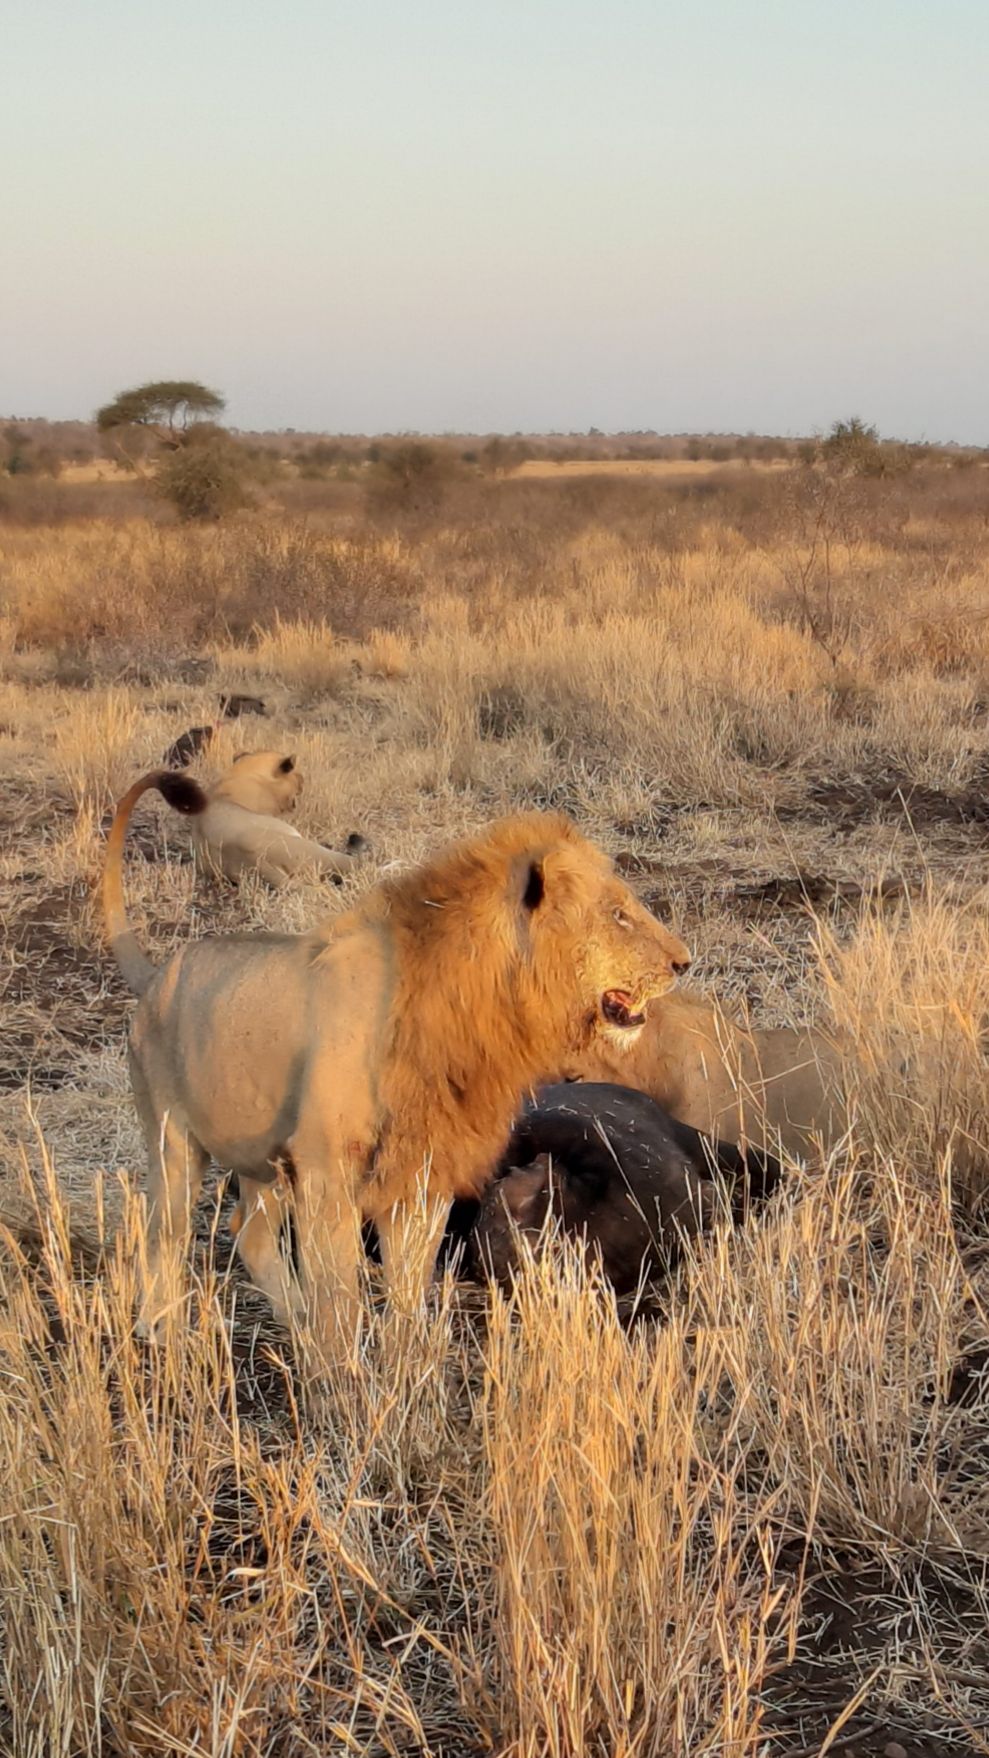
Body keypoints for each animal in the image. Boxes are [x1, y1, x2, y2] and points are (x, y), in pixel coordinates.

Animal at [100, 805, 688, 1364]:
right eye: (617, 914)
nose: (683, 962)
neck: (474, 1006)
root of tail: (155, 976)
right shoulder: (327, 1174)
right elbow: (340, 1296)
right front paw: (341, 1379)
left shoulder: (423, 1174)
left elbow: (408, 1289)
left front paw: (405, 1366)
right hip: (172, 1141)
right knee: (164, 1232)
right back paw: (161, 1332)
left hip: (264, 1158)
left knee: (251, 1233)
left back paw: (294, 1323)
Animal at [123, 752, 367, 893]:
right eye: (299, 778)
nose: (303, 784)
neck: (239, 774)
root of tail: (257, 860)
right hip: (312, 850)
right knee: (355, 864)